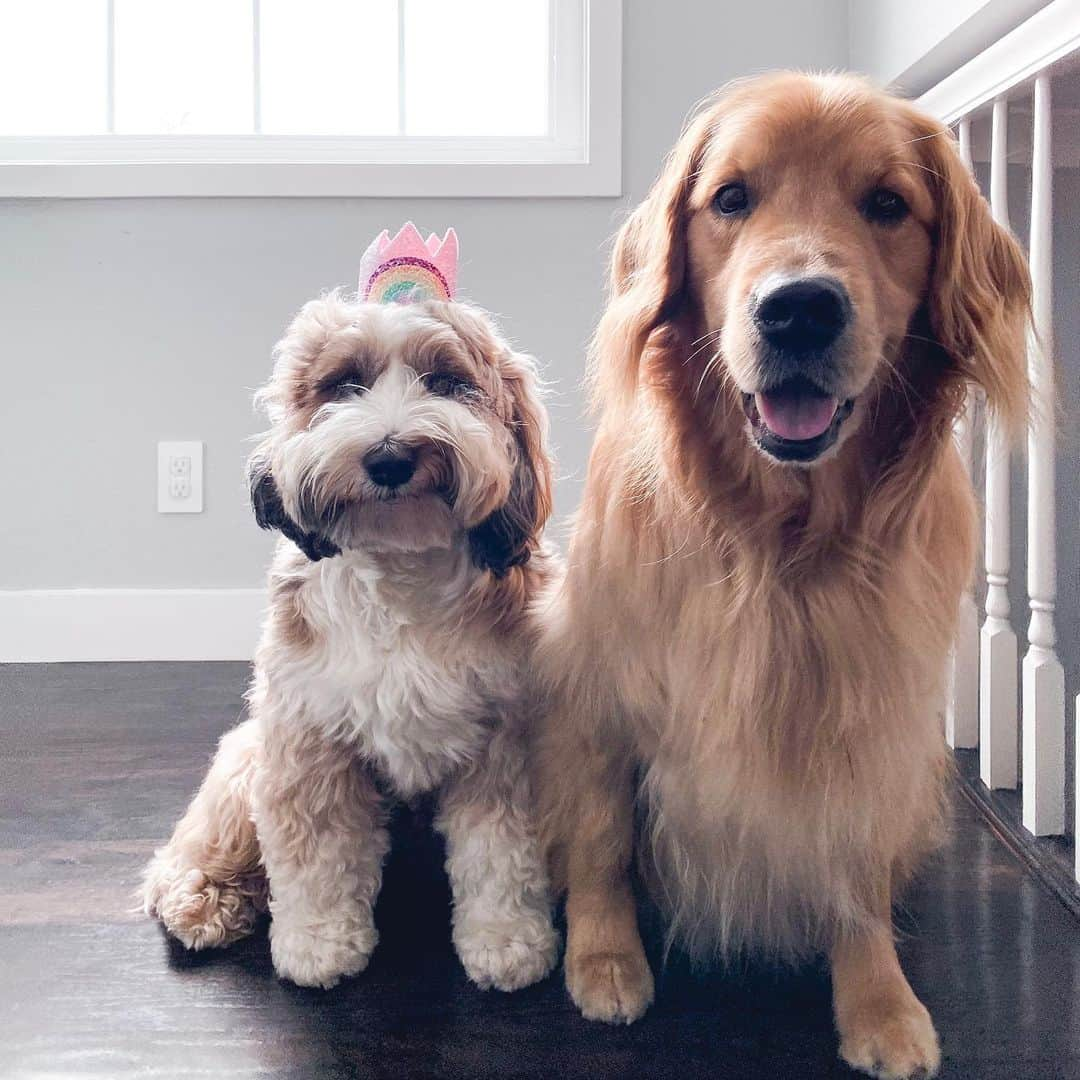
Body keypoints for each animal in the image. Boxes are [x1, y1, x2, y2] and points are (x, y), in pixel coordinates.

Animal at [144, 230, 561, 993]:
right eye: (344, 385)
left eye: (447, 381)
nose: (391, 456)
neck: (400, 570)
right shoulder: (308, 743)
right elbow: (316, 857)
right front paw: (318, 944)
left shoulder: (508, 742)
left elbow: (501, 854)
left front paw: (507, 941)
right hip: (246, 758)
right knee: (192, 850)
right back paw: (203, 896)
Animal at [535, 76, 1032, 1080]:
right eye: (731, 198)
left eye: (888, 204)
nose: (799, 308)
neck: (781, 539)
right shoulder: (597, 687)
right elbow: (602, 840)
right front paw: (604, 961)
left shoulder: (873, 714)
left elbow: (853, 870)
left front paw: (878, 1000)